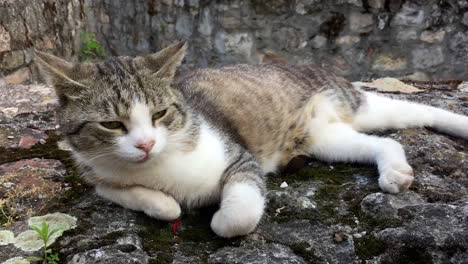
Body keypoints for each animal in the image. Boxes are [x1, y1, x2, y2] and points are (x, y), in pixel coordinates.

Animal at [36, 40, 468, 237]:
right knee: (385, 143)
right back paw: (395, 172)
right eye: (112, 125)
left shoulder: (239, 157)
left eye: (160, 114)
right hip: (324, 138)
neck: (159, 166)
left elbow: (239, 215)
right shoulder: (97, 177)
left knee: (419, 111)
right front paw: (164, 204)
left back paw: (455, 124)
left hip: (359, 105)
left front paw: (219, 218)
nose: (145, 144)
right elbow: (140, 197)